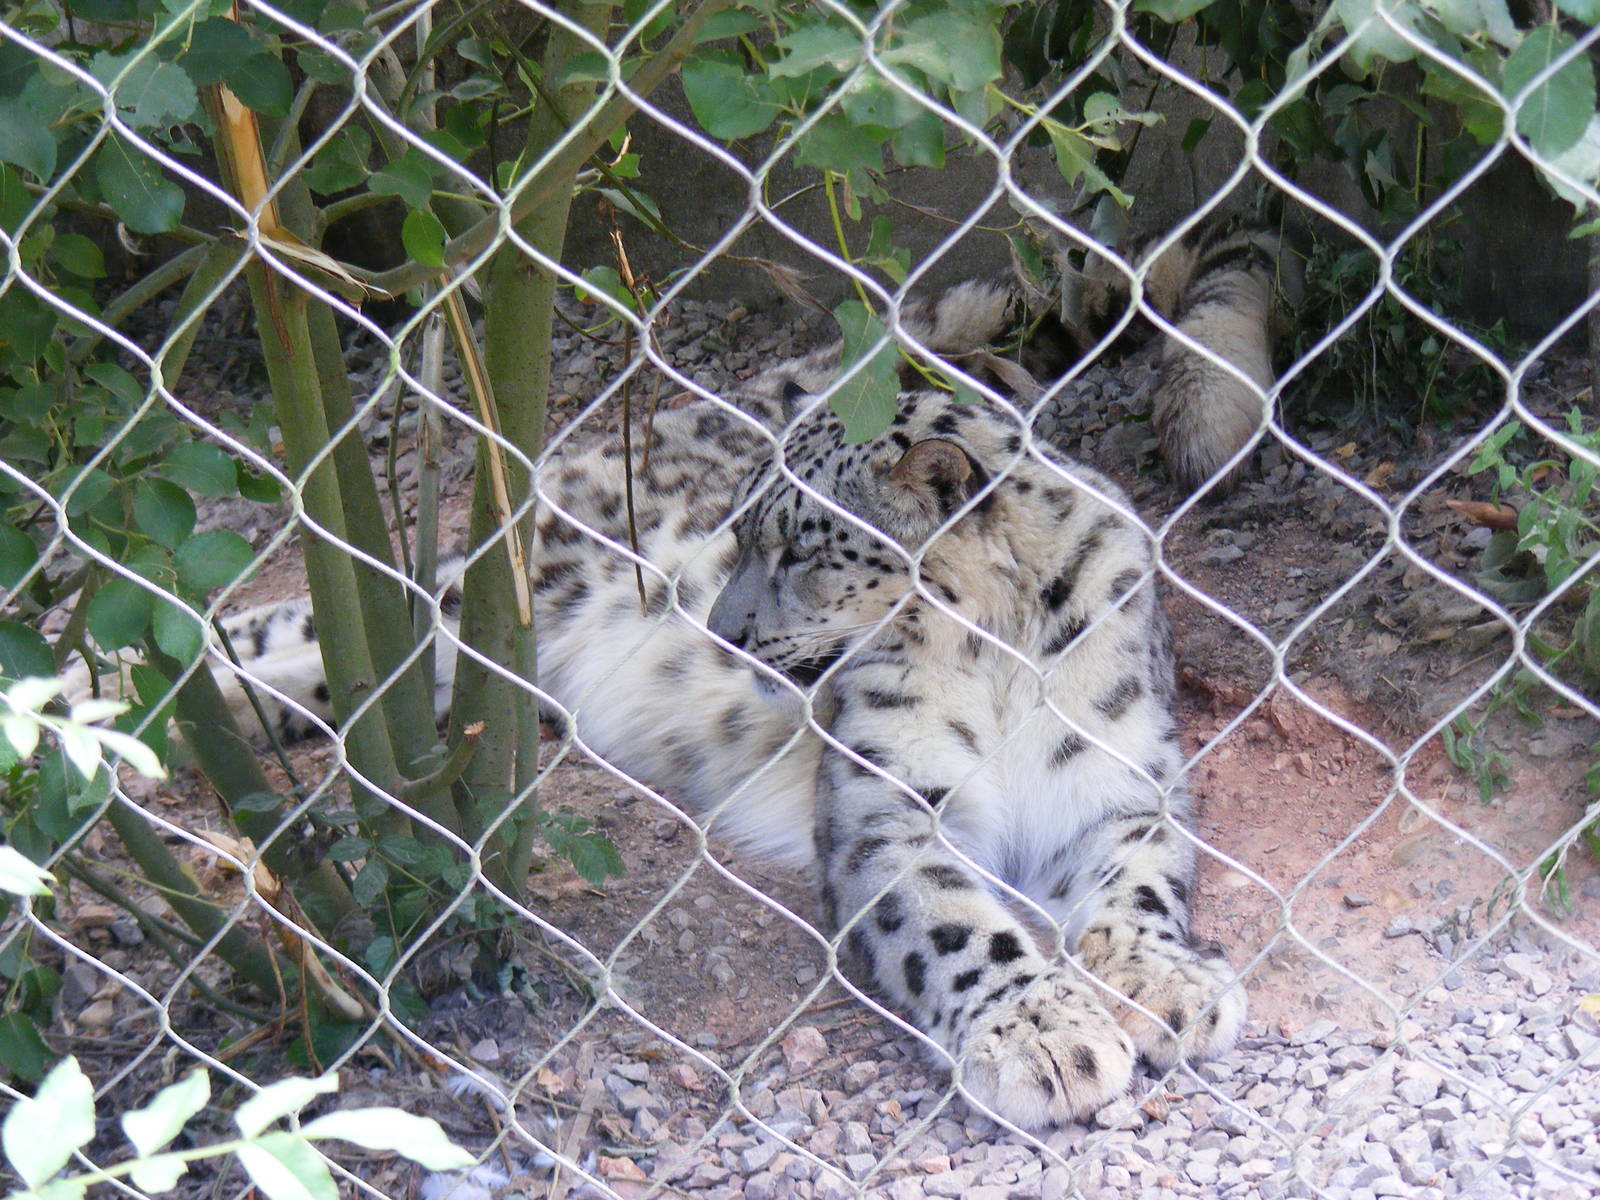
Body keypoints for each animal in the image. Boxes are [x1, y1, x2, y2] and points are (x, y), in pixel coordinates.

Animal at [60, 234, 1285, 1130]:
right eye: (740, 537)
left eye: (805, 547)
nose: (726, 632)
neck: (1002, 657)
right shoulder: (889, 808)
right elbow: (956, 923)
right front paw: (1044, 1036)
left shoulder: (1124, 782)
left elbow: (1138, 886)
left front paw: (1167, 985)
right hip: (485, 596)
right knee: (303, 624)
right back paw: (100, 696)